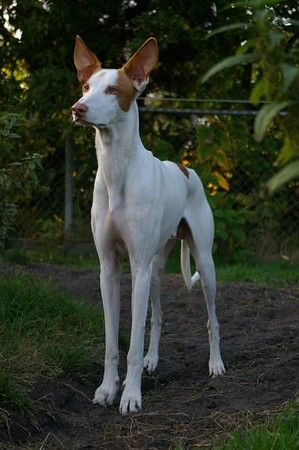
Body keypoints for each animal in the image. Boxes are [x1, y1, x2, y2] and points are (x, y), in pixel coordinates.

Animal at [71, 36, 224, 414]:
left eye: (113, 89)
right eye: (85, 86)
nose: (77, 108)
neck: (117, 170)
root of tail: (185, 167)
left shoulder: (136, 266)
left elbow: (132, 345)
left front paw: (130, 395)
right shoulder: (109, 268)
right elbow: (114, 341)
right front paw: (108, 388)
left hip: (204, 264)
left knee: (212, 318)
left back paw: (216, 364)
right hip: (155, 269)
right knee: (157, 317)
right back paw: (153, 359)